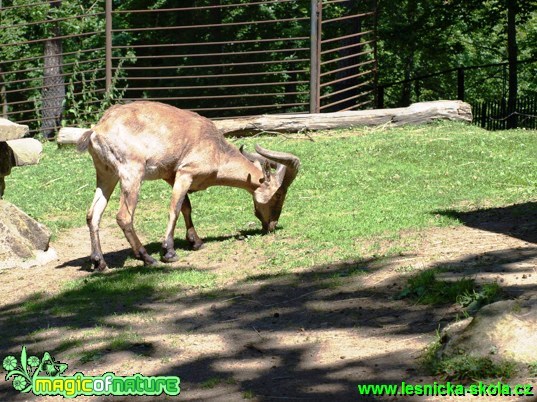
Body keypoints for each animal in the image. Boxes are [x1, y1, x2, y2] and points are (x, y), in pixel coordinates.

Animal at [77, 100, 300, 270]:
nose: (271, 225)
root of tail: (97, 130)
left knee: (92, 214)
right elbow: (175, 208)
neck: (215, 148)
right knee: (123, 216)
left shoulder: (172, 175)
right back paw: (147, 258)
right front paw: (169, 252)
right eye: (279, 194)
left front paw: (196, 242)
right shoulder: (186, 173)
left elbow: (186, 206)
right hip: (131, 173)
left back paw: (99, 262)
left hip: (106, 174)